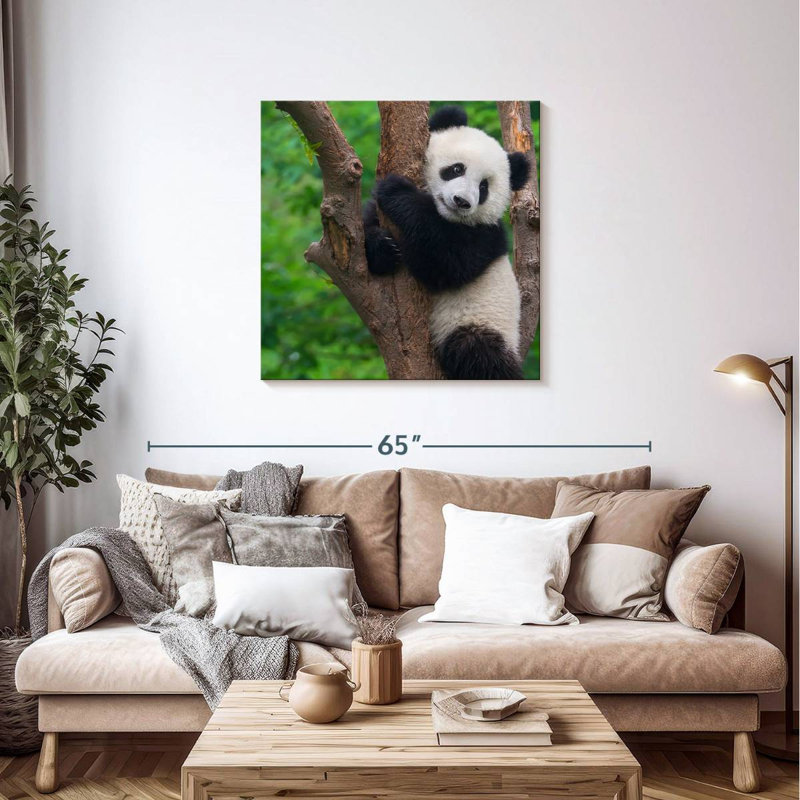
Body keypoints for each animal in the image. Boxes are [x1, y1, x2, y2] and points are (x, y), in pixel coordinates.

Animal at [363, 105, 530, 380]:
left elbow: (446, 265)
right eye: (456, 169)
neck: (446, 216)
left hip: (480, 322)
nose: (462, 201)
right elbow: (365, 232)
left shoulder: (485, 236)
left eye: (483, 187)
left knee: (477, 353)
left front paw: (397, 192)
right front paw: (383, 248)